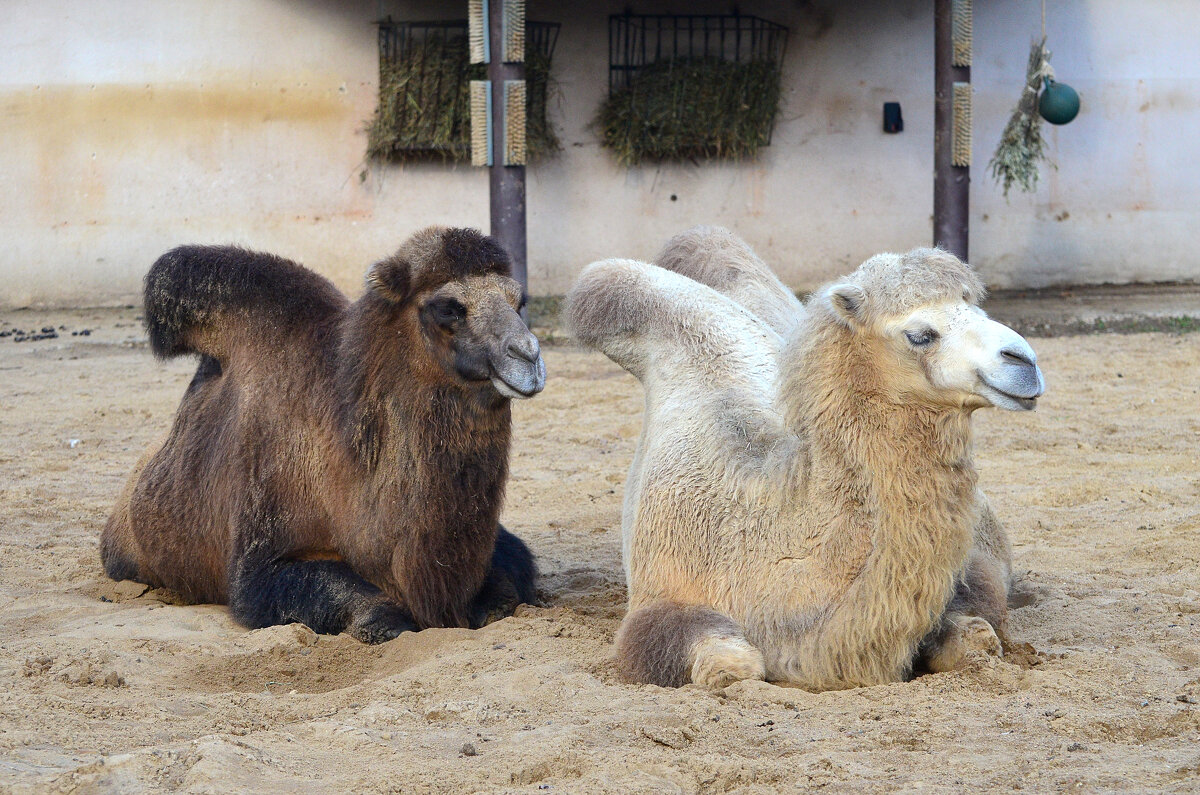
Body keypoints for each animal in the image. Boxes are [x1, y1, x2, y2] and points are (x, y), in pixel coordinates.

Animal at [566, 230, 1046, 691]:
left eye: (976, 307)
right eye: (920, 334)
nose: (1024, 362)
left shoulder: (971, 575)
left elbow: (977, 638)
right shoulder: (662, 592)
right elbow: (731, 667)